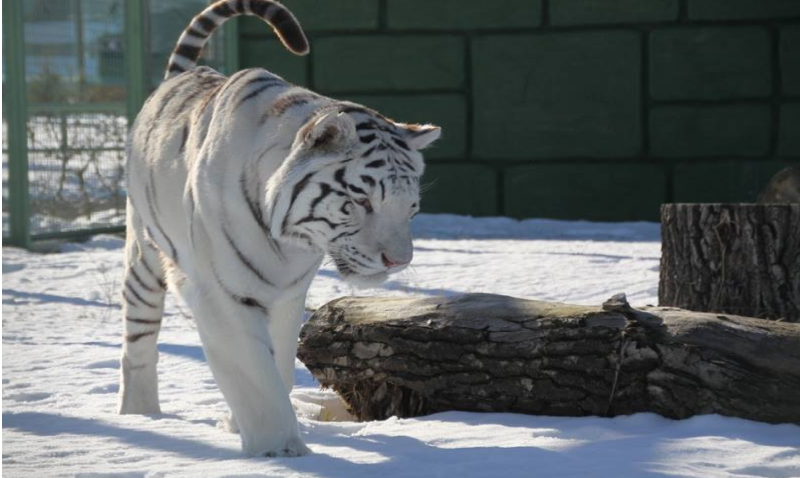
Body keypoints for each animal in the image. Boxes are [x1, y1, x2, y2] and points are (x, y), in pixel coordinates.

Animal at [118, 0, 440, 458]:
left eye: (410, 207)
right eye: (362, 200)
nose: (398, 261)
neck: (291, 243)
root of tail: (176, 79)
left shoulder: (288, 295)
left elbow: (279, 365)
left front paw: (245, 427)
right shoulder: (224, 293)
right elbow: (256, 377)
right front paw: (280, 450)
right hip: (144, 255)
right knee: (138, 339)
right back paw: (139, 414)